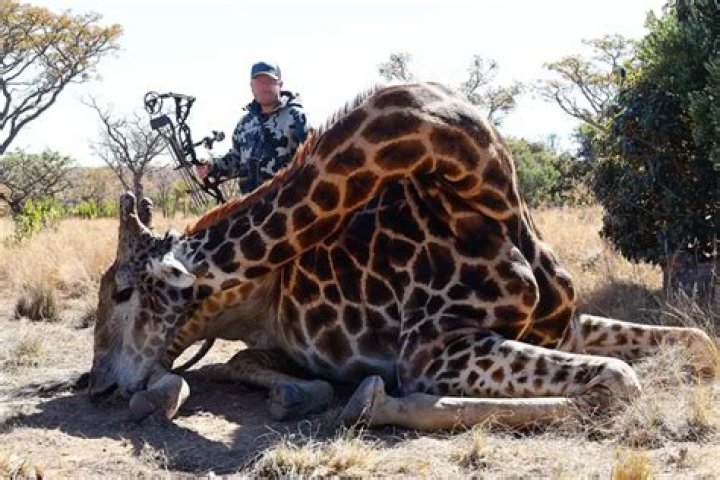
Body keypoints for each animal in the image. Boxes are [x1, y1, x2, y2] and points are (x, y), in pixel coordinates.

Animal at [90, 83, 717, 429]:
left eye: (123, 291)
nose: (96, 385)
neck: (483, 187)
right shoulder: (430, 351)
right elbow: (618, 381)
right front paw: (378, 402)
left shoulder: (564, 326)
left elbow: (695, 341)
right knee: (204, 368)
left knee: (233, 360)